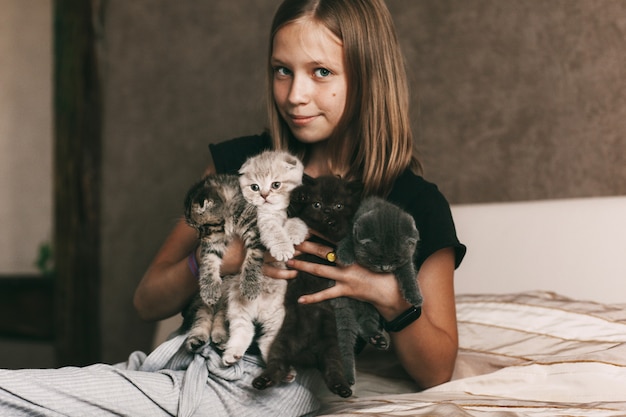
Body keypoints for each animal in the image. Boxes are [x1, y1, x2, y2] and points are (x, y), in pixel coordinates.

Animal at [251, 175, 360, 396]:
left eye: (338, 205)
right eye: (317, 204)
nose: (327, 212)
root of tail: (307, 351)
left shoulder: (340, 240)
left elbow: (341, 229)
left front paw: (335, 221)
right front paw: (301, 194)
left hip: (331, 346)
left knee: (333, 370)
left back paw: (341, 387)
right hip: (283, 341)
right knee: (277, 366)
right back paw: (264, 380)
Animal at [334, 195, 422, 384]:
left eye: (395, 259)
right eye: (376, 259)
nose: (385, 267)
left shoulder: (406, 261)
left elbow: (408, 273)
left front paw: (415, 296)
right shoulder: (351, 227)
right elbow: (348, 239)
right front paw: (345, 255)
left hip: (371, 307)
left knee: (365, 322)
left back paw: (377, 339)